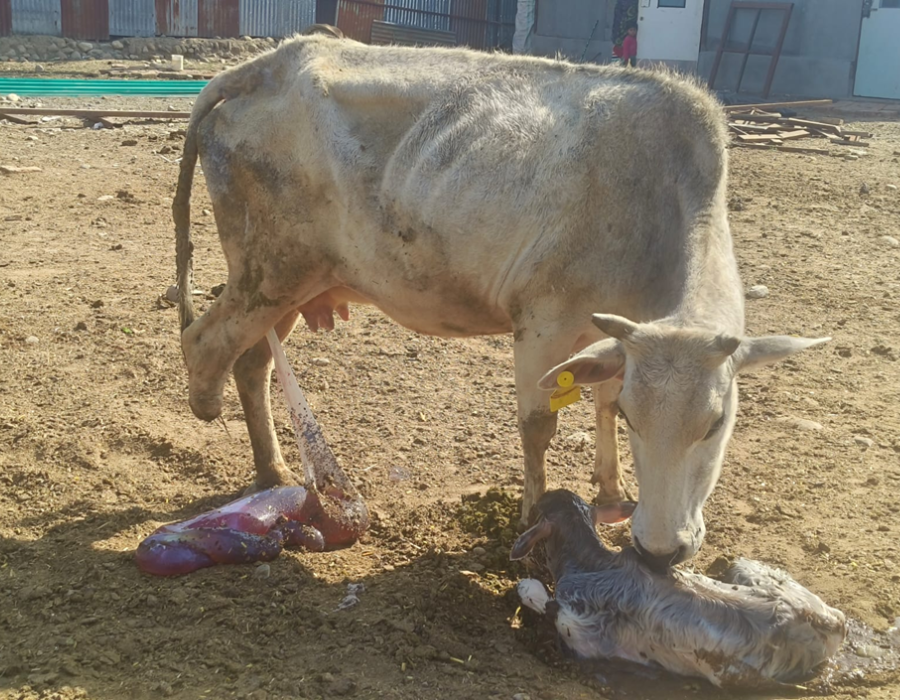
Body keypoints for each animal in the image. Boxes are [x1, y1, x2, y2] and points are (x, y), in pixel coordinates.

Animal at [172, 34, 828, 571]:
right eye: (642, 422)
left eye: (716, 423)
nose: (660, 551)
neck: (654, 203)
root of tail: (269, 62)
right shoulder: (544, 319)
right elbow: (540, 425)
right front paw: (534, 524)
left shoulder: (617, 336)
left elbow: (602, 399)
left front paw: (612, 495)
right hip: (271, 269)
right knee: (205, 342)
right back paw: (229, 427)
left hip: (295, 281)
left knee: (251, 361)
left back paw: (274, 469)